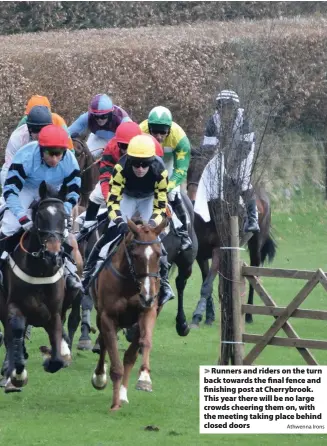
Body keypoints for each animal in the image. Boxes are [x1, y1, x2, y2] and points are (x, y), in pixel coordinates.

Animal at [0, 181, 77, 390]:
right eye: (40, 216)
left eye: (64, 217)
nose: (52, 255)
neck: (40, 271)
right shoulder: (14, 306)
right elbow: (16, 331)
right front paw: (17, 373)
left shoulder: (54, 313)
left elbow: (57, 349)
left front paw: (52, 360)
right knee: (10, 335)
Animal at [89, 220, 167, 412]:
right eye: (135, 254)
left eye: (158, 254)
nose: (148, 295)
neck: (129, 284)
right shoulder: (107, 317)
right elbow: (115, 364)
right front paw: (115, 403)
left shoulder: (148, 311)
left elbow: (144, 344)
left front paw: (144, 379)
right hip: (101, 316)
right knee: (103, 344)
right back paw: (100, 377)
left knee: (129, 355)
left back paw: (124, 394)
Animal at [187, 148, 276, 326]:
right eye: (189, 169)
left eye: (204, 171)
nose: (192, 198)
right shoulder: (201, 254)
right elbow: (206, 281)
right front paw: (209, 315)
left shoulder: (218, 250)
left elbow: (207, 285)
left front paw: (197, 316)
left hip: (256, 245)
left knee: (254, 274)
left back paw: (248, 315)